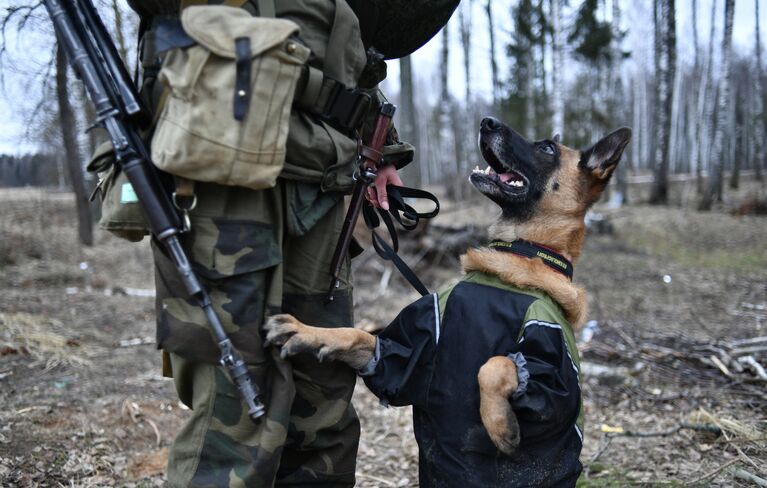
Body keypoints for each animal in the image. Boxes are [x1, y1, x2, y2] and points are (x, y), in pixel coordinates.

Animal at [264, 119, 632, 488]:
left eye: (547, 149)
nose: (487, 122)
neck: (521, 253)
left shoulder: (551, 373)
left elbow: (494, 364)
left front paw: (500, 426)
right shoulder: (409, 350)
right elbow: (354, 335)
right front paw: (306, 331)